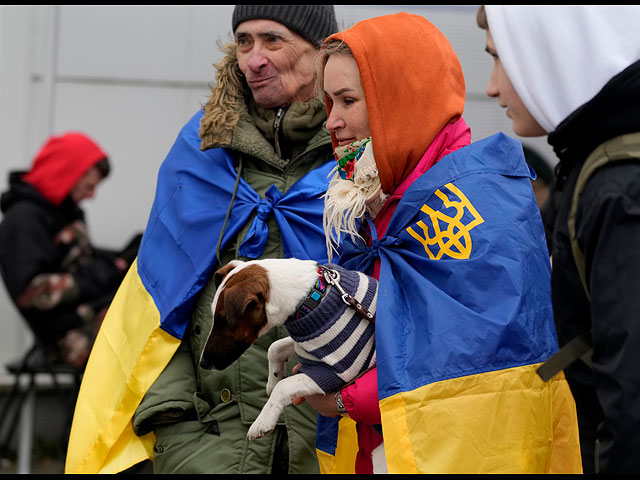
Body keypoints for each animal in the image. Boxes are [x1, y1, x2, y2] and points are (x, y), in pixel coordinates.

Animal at [199, 258, 380, 442]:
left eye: (223, 319)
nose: (203, 363)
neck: (313, 297)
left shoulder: (341, 371)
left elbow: (285, 385)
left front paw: (263, 420)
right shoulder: (303, 344)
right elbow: (275, 347)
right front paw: (274, 378)